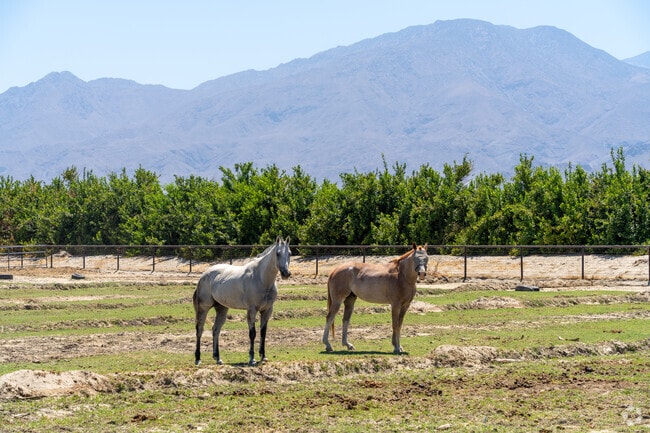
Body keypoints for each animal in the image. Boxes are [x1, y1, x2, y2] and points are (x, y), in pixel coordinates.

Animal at [193, 236, 291, 366]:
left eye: (290, 253)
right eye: (278, 253)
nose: (286, 273)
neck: (260, 278)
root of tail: (203, 275)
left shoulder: (267, 310)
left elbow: (263, 332)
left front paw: (263, 356)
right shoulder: (252, 310)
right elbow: (252, 333)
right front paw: (252, 358)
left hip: (222, 309)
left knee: (216, 330)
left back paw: (218, 358)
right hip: (203, 308)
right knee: (200, 329)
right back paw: (198, 359)